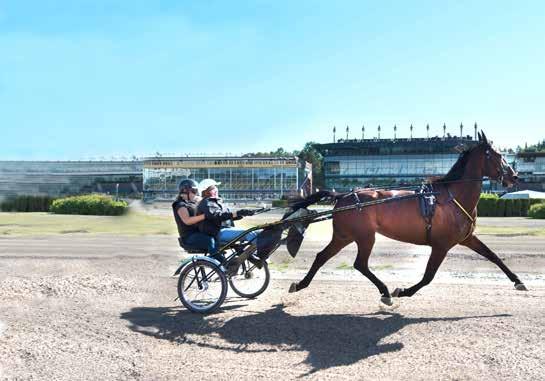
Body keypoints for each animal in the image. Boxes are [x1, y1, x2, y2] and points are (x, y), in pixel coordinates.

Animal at [286, 132, 524, 304]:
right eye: (497, 155)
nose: (514, 176)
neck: (452, 197)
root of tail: (343, 195)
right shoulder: (441, 244)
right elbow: (428, 276)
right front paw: (403, 291)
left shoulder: (467, 238)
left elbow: (494, 256)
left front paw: (518, 281)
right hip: (365, 236)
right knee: (360, 263)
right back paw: (384, 292)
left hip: (344, 236)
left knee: (322, 256)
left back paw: (300, 284)